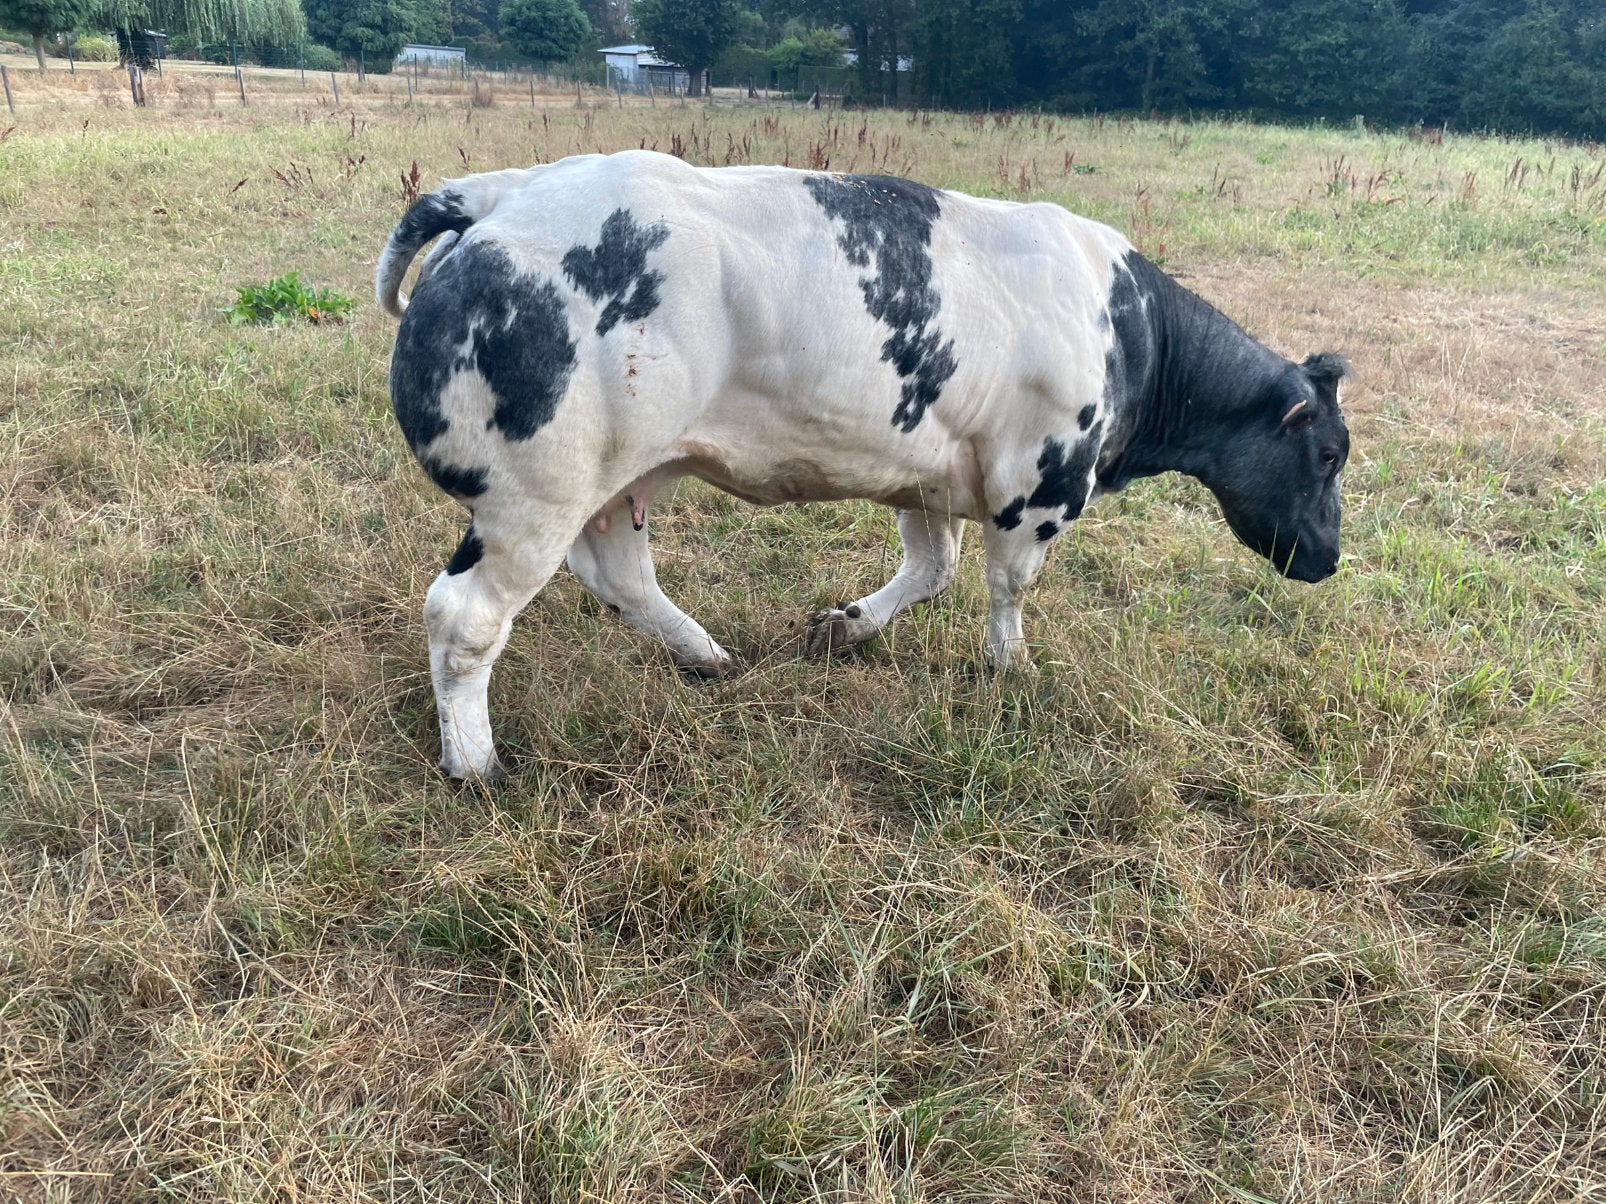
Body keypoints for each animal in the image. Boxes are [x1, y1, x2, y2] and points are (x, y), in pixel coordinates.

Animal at [376, 150, 1350, 780]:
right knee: (465, 616)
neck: (1125, 326)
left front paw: (846, 626)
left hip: (617, 478)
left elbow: (932, 568)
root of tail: (500, 194)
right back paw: (475, 761)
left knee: (619, 571)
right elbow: (1007, 586)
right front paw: (1012, 669)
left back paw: (706, 654)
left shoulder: (931, 471)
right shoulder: (1038, 482)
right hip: (534, 490)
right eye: (1331, 454)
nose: (1332, 557)